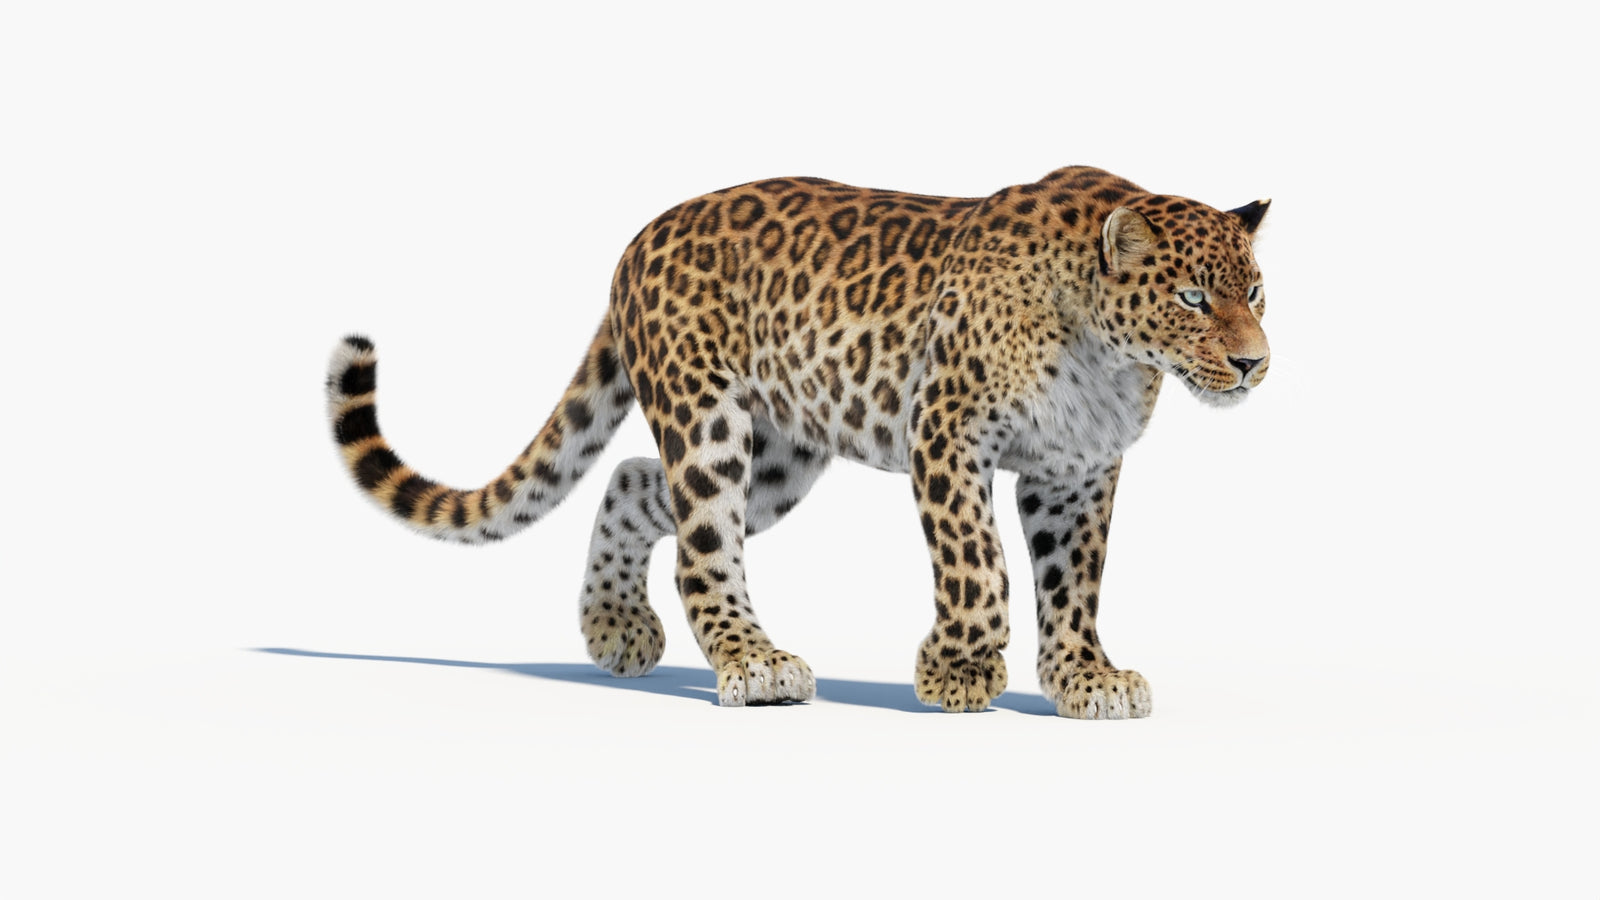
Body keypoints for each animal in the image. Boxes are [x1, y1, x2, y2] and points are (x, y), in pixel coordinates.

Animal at [324, 165, 1270, 719]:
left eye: (1256, 290)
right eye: (1191, 298)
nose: (1254, 362)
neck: (1110, 355)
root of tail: (639, 239)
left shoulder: (1077, 470)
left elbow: (1075, 584)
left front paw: (1086, 679)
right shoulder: (949, 433)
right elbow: (980, 567)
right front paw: (958, 672)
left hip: (780, 452)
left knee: (631, 481)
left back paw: (617, 627)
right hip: (709, 420)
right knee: (701, 546)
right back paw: (755, 664)